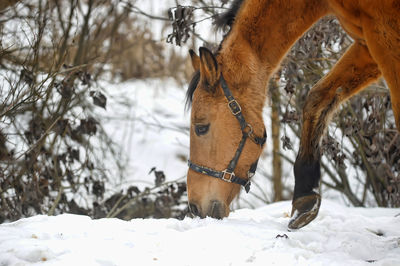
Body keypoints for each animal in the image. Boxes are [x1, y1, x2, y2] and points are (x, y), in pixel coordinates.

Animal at [185, 0, 400, 229]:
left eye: (201, 128)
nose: (194, 208)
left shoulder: (385, 37)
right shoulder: (367, 44)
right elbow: (317, 98)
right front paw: (305, 199)